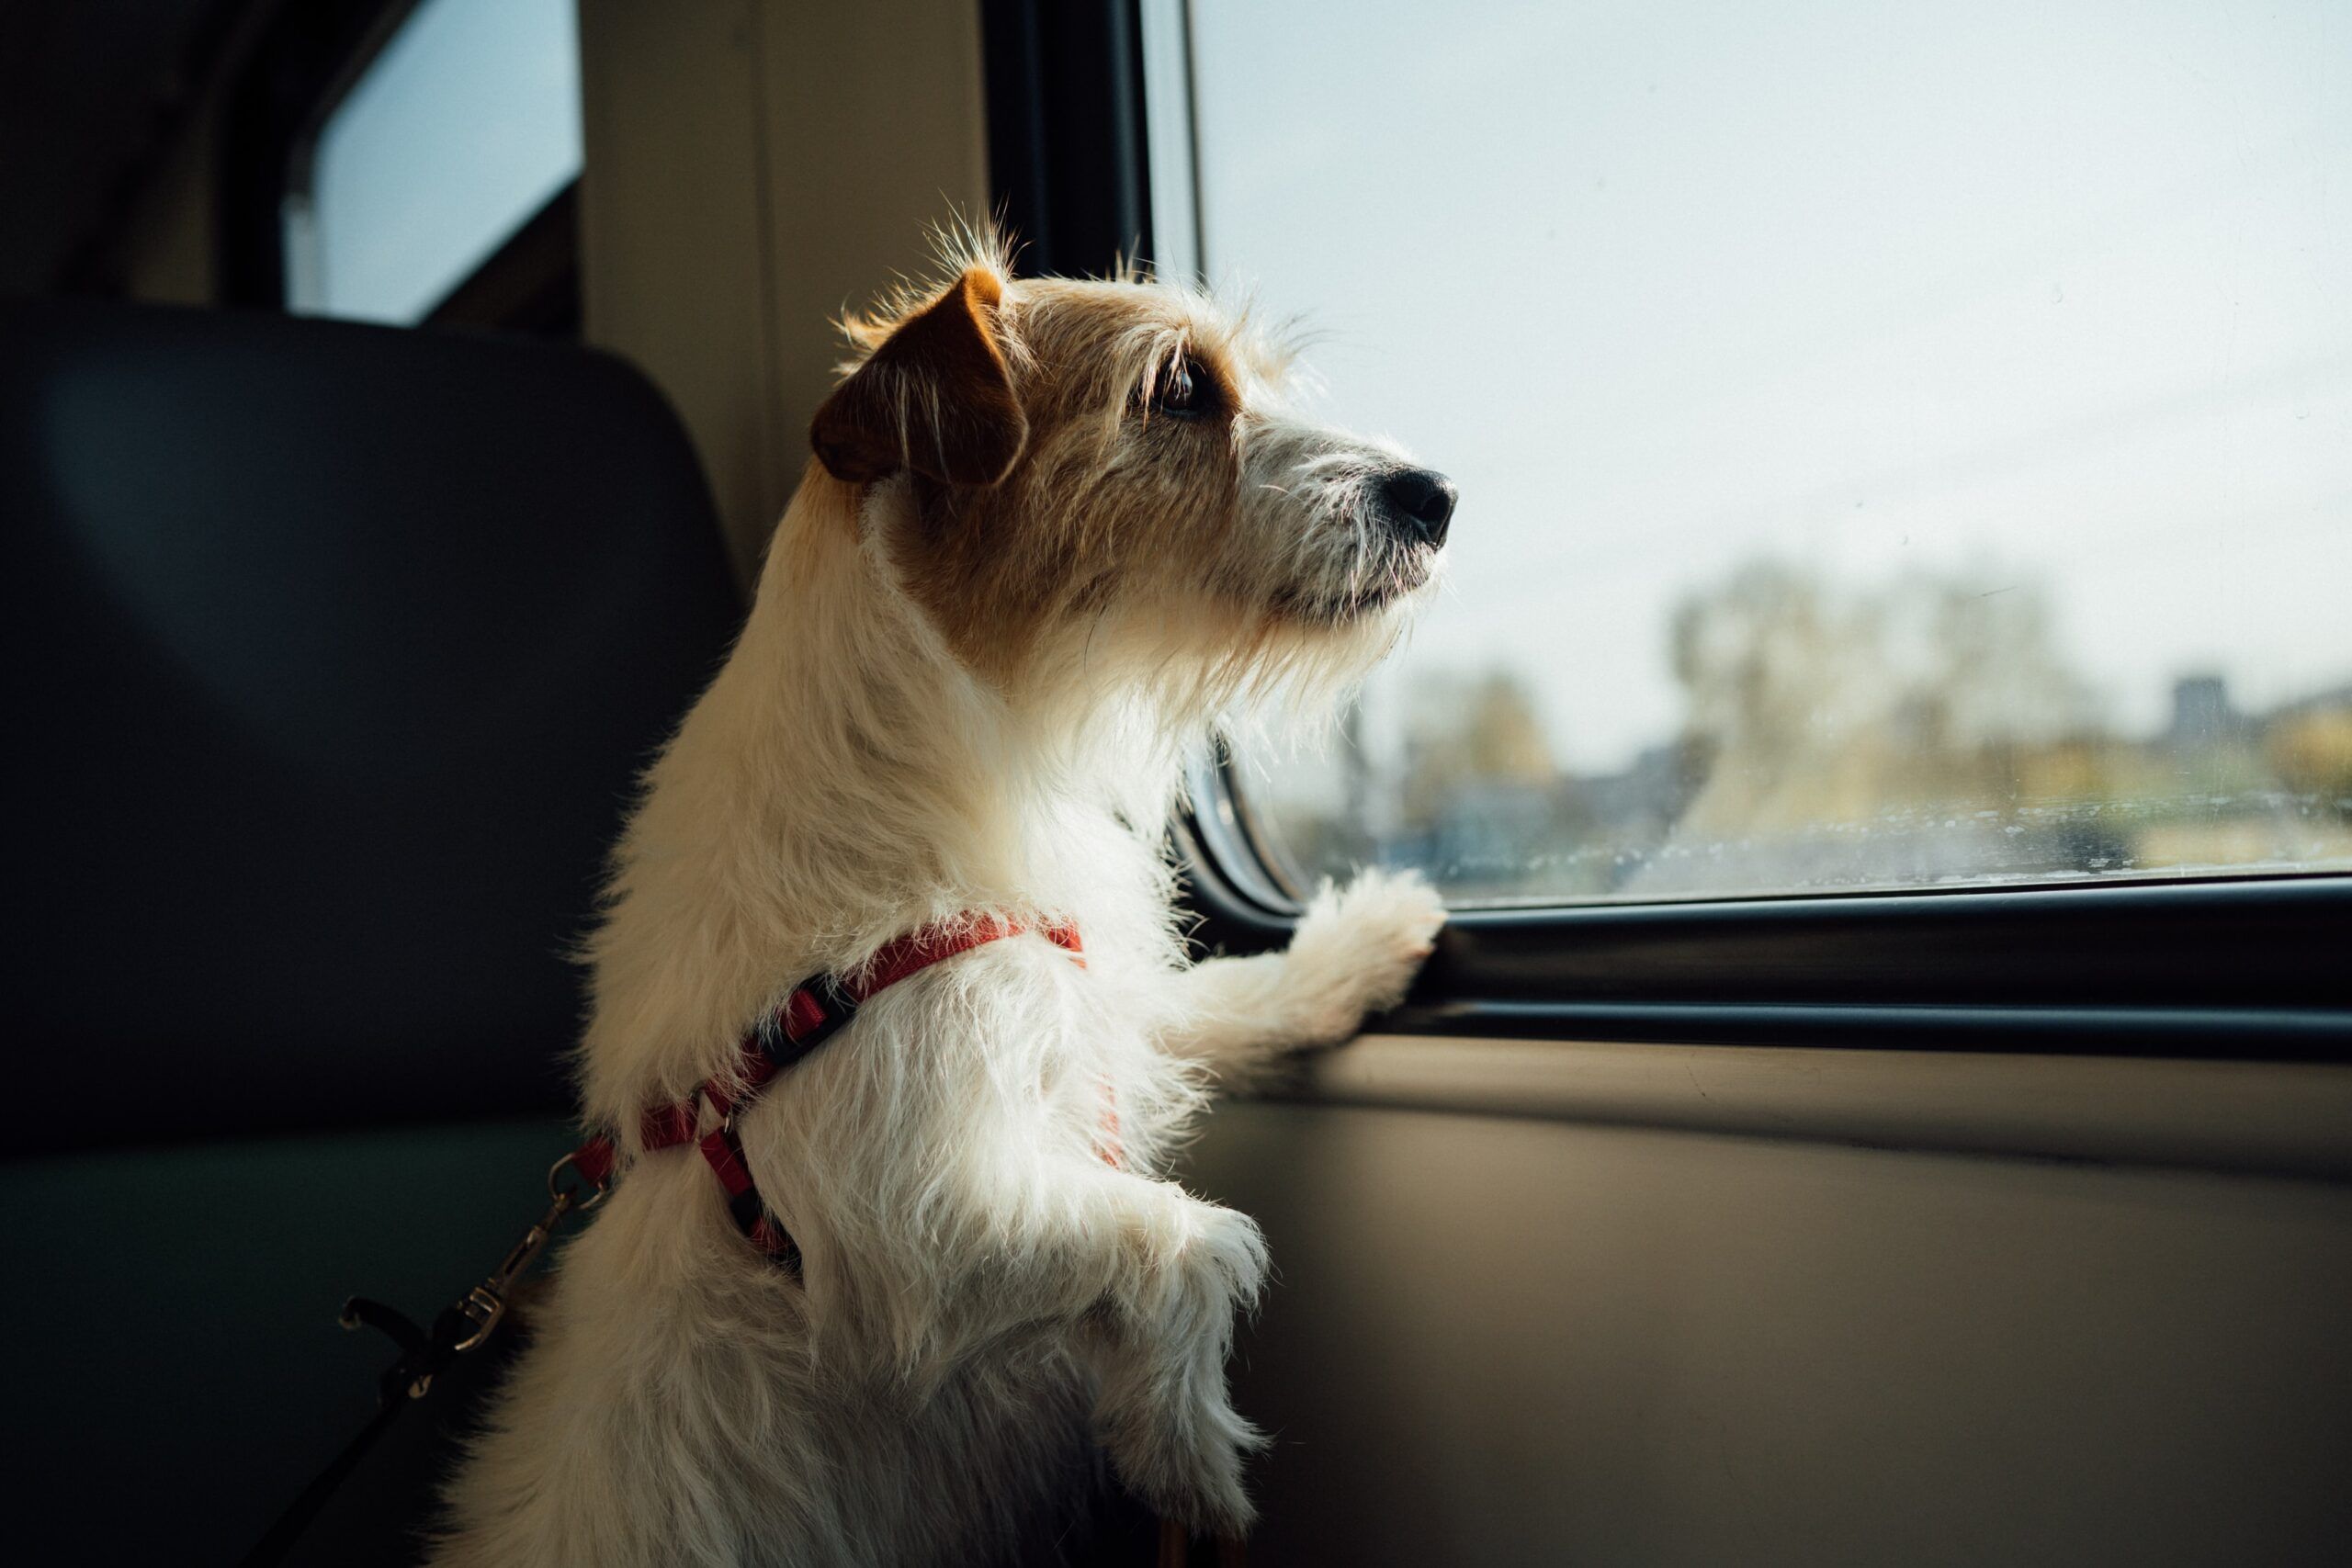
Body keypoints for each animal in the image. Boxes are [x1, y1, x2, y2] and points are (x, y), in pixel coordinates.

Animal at [425, 232, 1448, 1568]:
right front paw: (1188, 1449)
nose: (1435, 495)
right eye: (1179, 389)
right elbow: (1184, 1238)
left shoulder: (1075, 992)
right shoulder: (909, 1222)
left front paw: (1361, 946)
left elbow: (1210, 1001)